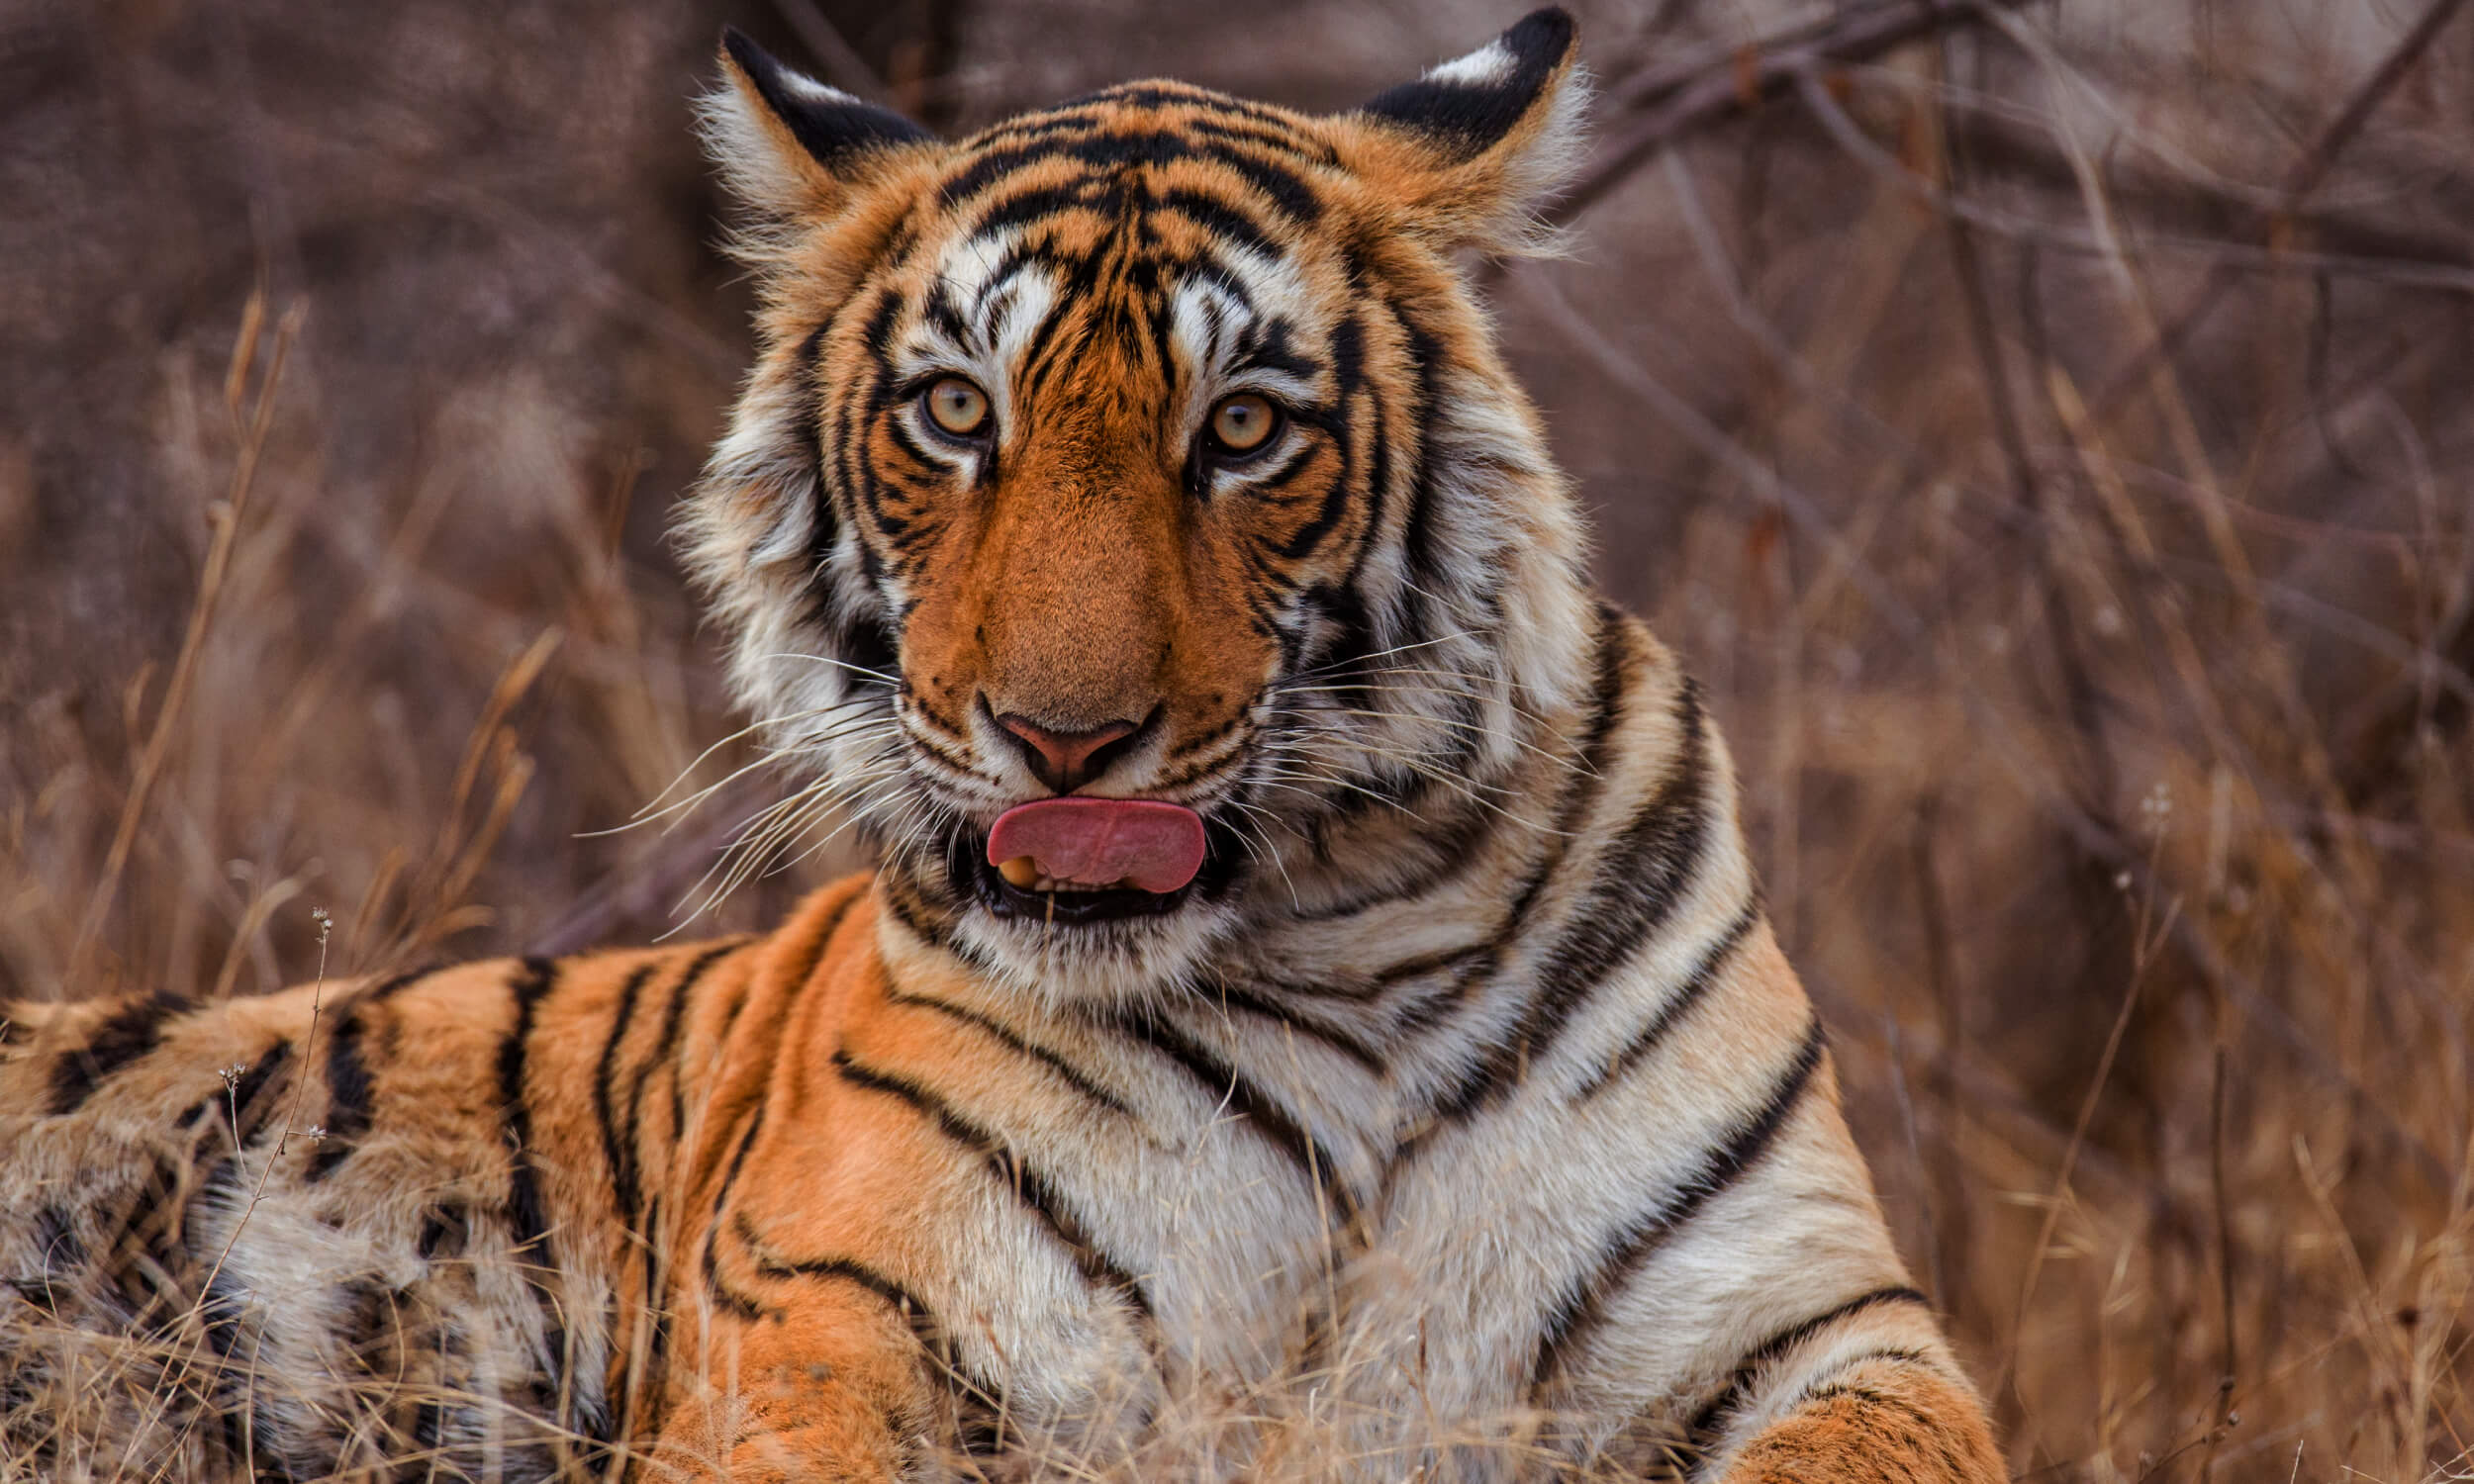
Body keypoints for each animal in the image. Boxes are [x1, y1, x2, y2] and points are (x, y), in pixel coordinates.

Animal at [0, 10, 2006, 1482]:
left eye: (1246, 428)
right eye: (957, 413)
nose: (1065, 740)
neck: (1354, 937)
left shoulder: (1814, 1325)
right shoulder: (836, 1319)